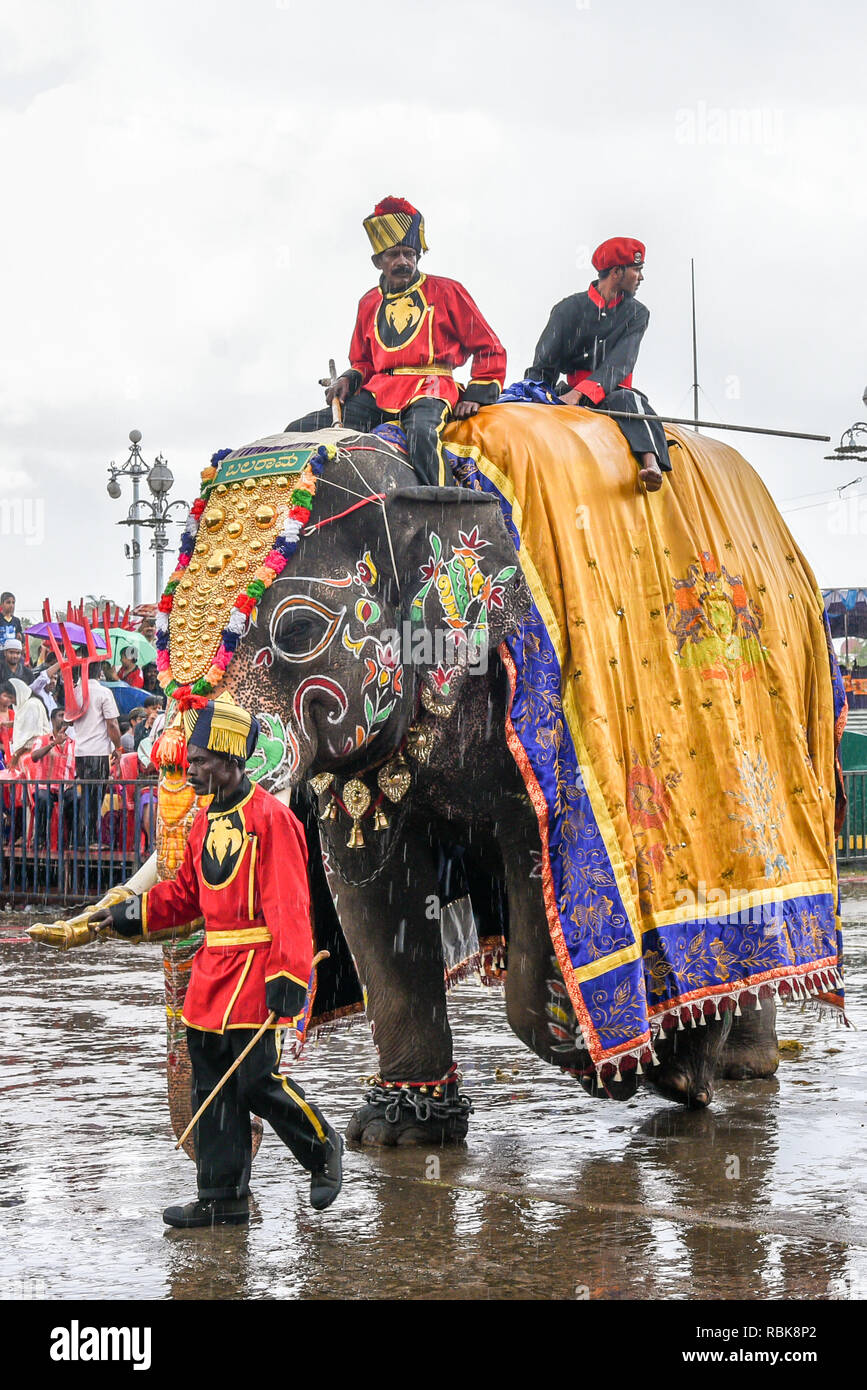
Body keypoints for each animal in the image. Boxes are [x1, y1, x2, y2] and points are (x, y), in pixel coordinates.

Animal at [33, 405, 844, 1150]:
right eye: (164, 632)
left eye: (299, 631)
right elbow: (369, 889)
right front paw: (398, 1129)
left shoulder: (529, 704)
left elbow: (531, 867)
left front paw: (596, 1059)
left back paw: (697, 1073)